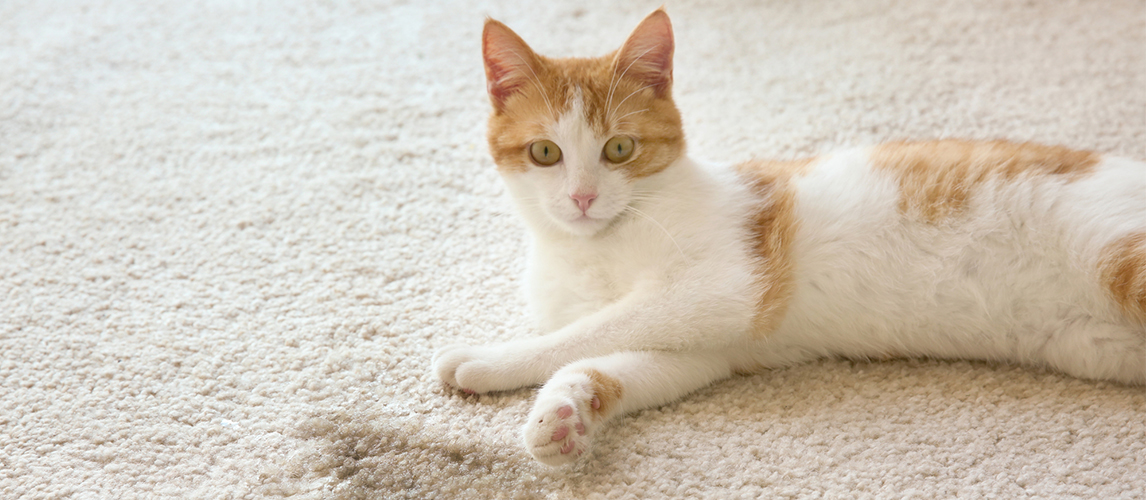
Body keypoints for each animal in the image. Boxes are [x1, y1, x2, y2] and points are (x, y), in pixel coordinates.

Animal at [430, 7, 1146, 467]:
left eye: (620, 149)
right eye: (545, 152)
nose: (582, 198)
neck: (592, 247)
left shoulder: (726, 287)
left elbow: (587, 332)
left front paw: (488, 360)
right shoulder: (704, 349)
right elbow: (612, 361)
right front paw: (564, 417)